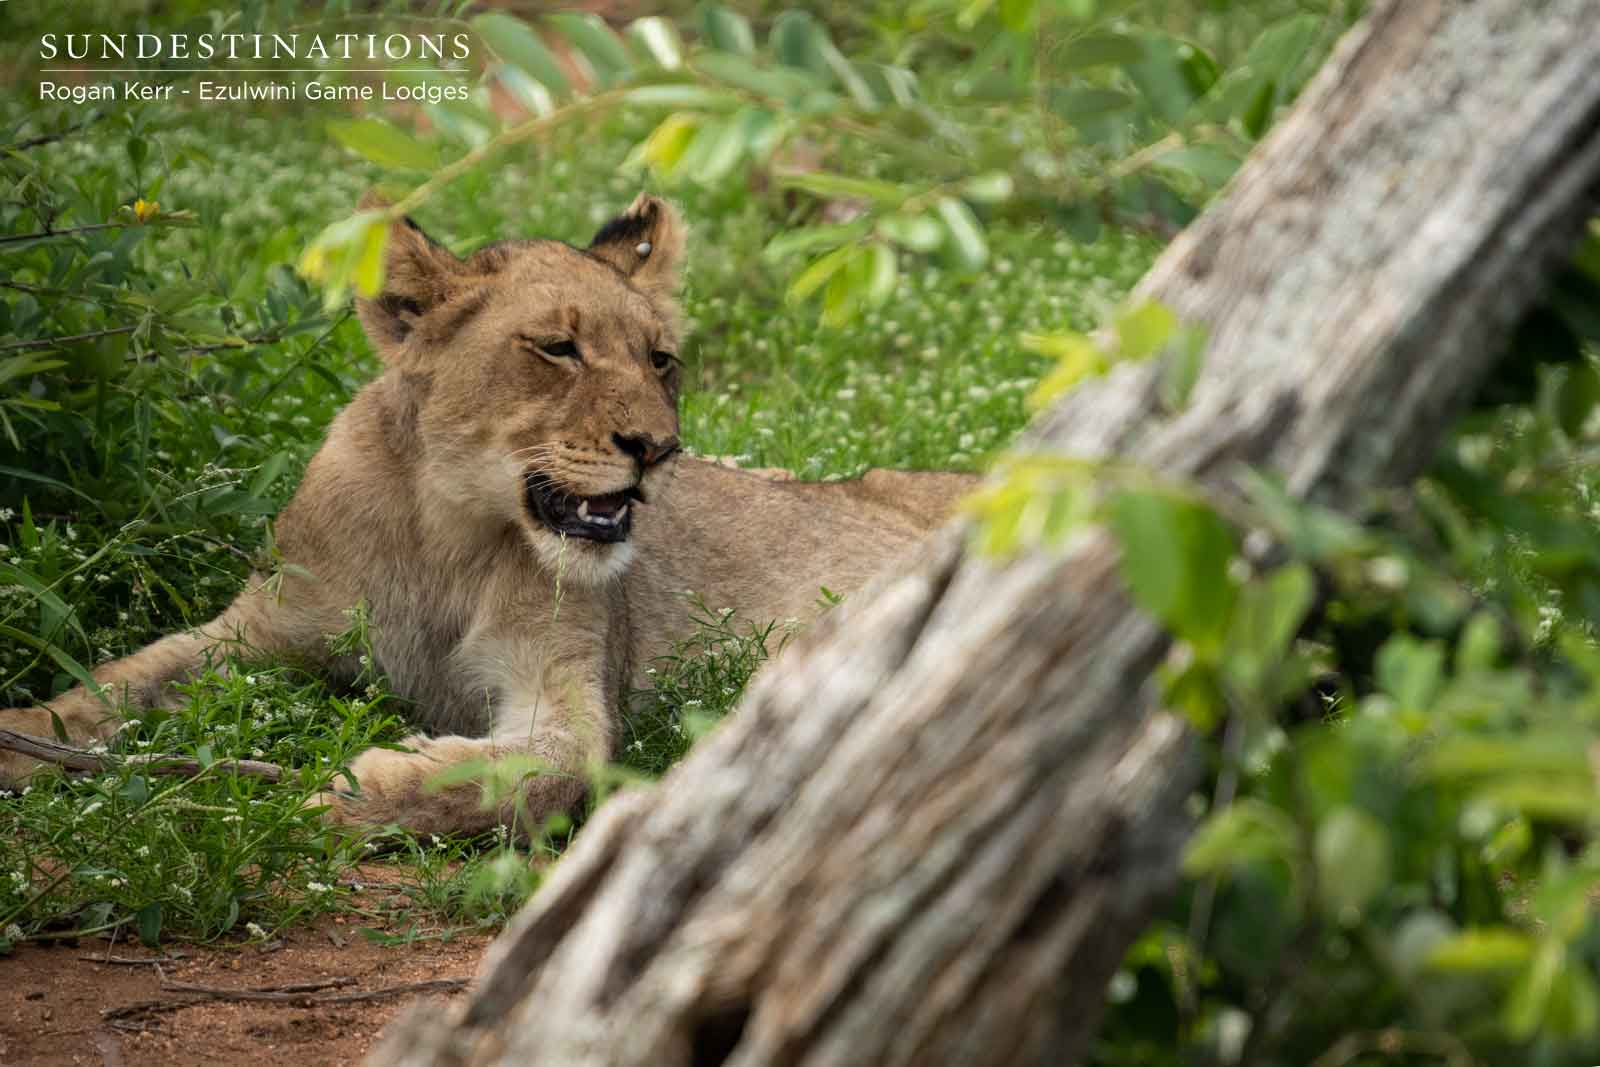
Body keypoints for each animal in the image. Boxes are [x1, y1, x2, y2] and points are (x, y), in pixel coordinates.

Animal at [0, 195, 977, 835]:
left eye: (660, 359)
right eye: (558, 348)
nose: (658, 448)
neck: (446, 531)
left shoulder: (567, 683)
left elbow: (532, 770)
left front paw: (350, 787)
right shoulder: (260, 628)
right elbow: (112, 684)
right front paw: (25, 742)